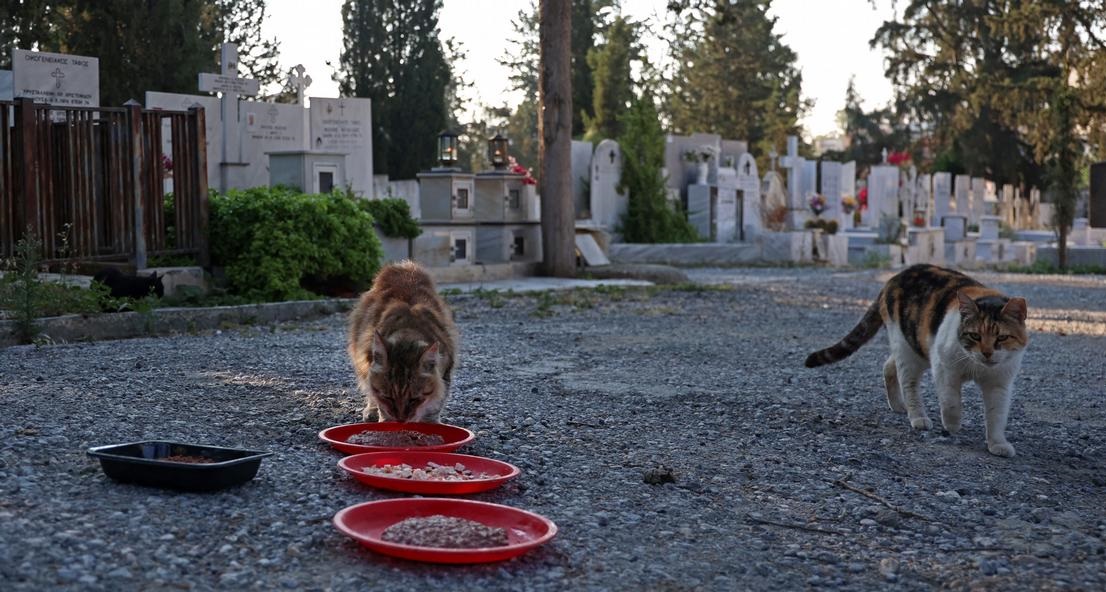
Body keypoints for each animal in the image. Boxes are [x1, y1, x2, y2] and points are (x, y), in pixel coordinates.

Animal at [347, 262, 455, 424]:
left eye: (414, 399)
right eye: (388, 397)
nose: (401, 419)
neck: (408, 329)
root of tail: (402, 266)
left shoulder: (445, 371)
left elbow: (435, 405)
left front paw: (430, 423)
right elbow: (379, 402)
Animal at [805, 265, 1026, 458]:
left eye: (1001, 338)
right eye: (975, 336)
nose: (987, 353)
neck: (976, 366)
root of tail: (894, 278)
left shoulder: (999, 384)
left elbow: (997, 415)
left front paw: (997, 444)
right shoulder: (944, 368)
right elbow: (951, 401)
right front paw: (952, 424)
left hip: (914, 347)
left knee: (888, 366)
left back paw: (897, 404)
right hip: (908, 349)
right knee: (908, 383)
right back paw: (918, 416)